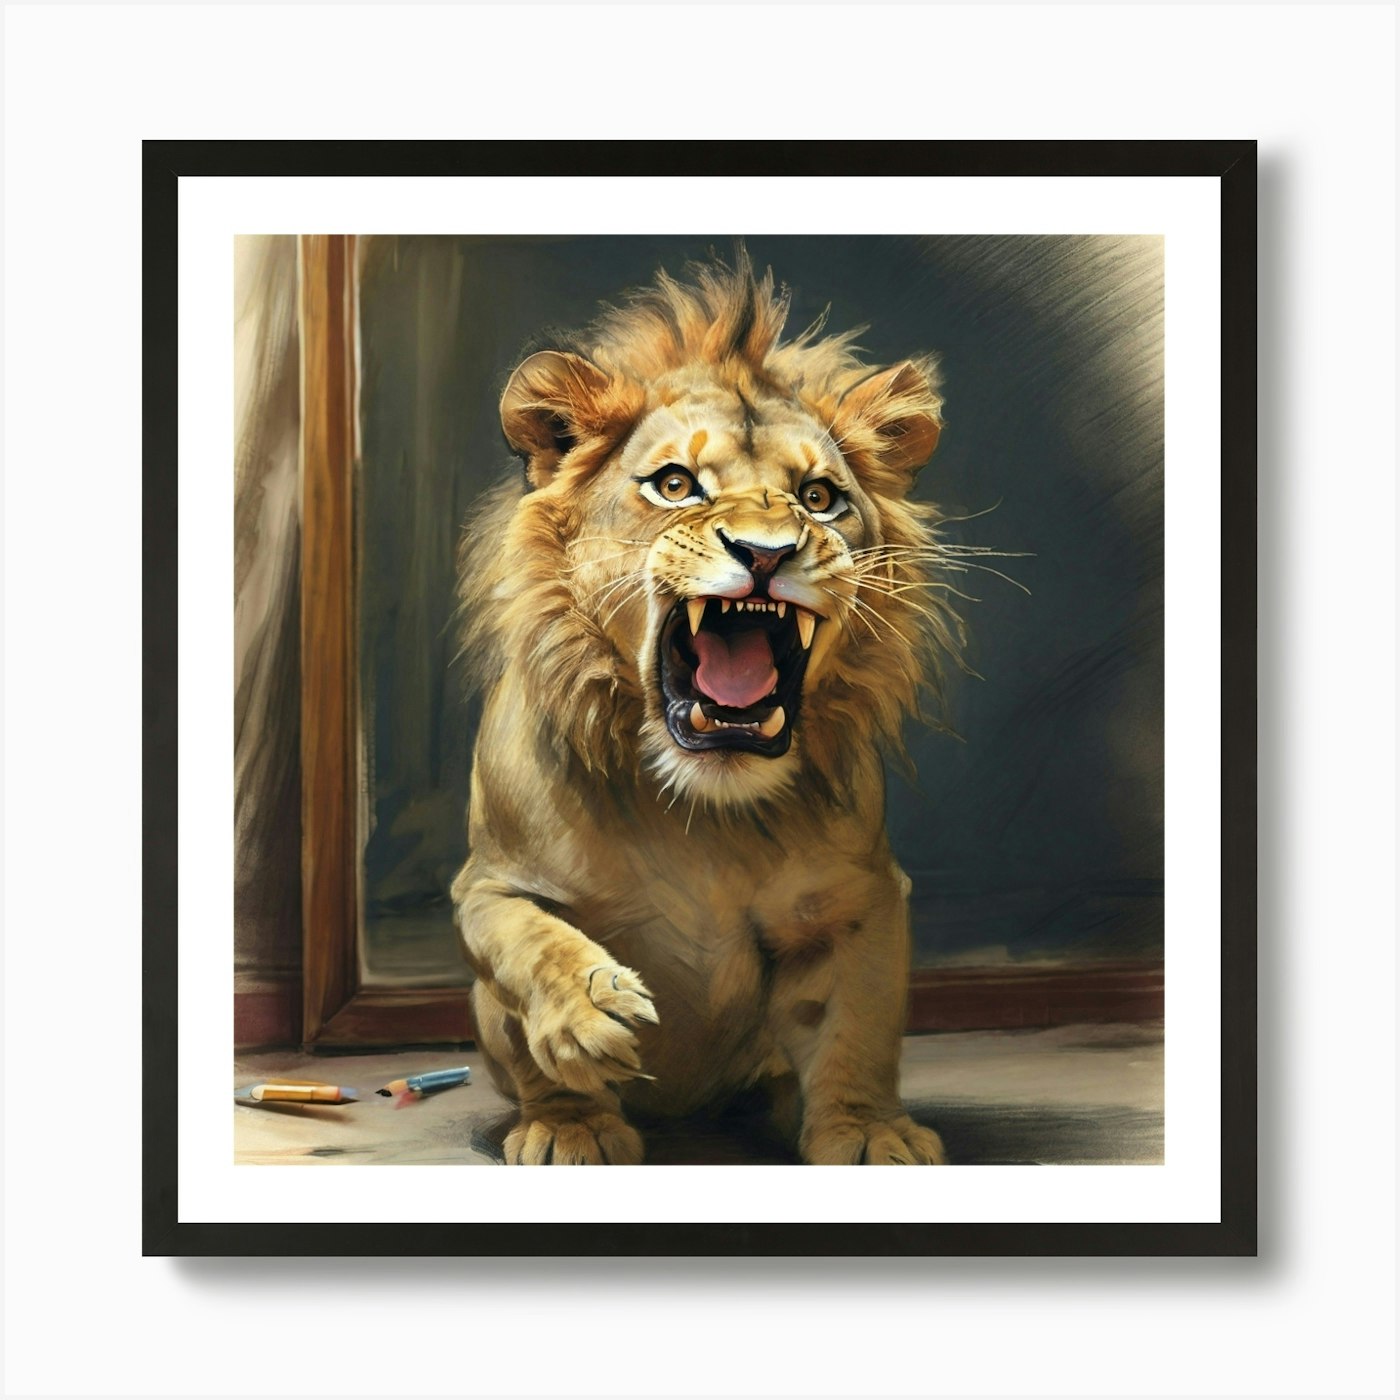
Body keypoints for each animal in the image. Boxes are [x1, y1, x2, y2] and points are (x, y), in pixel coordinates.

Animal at [451, 250, 967, 1165]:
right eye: (676, 485)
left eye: (820, 497)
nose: (766, 552)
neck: (704, 815)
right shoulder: (489, 884)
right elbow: (531, 942)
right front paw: (591, 1019)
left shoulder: (861, 898)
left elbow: (858, 1023)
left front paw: (870, 1132)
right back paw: (567, 1126)